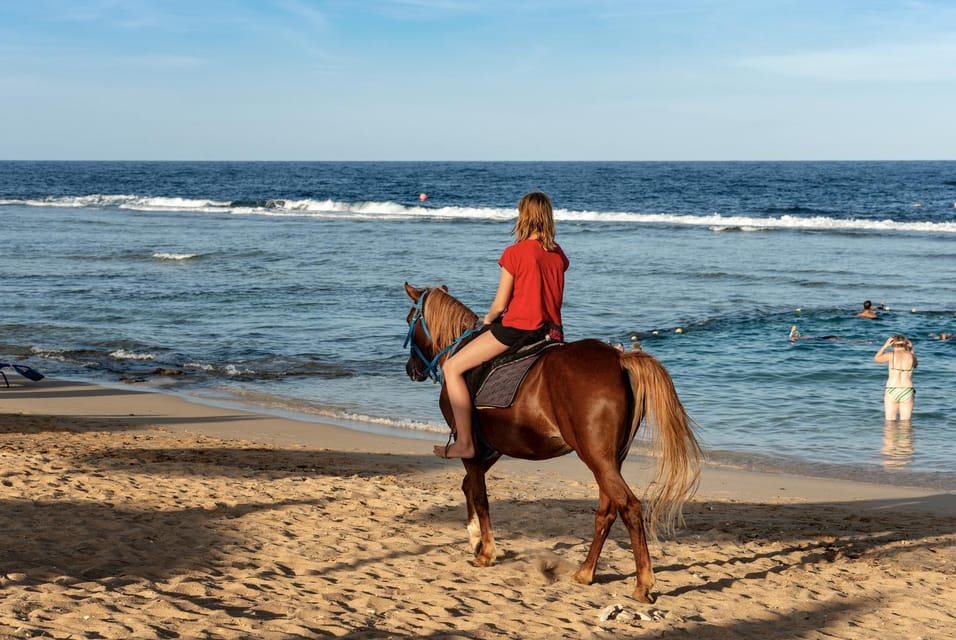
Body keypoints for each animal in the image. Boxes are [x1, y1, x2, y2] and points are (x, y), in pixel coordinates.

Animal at [404, 282, 704, 604]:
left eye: (410, 318)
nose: (411, 369)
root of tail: (618, 359)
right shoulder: (494, 447)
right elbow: (469, 486)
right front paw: (475, 539)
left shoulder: (470, 446)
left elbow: (479, 494)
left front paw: (484, 551)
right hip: (610, 460)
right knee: (607, 511)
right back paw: (585, 572)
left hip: (596, 457)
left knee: (630, 507)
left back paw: (642, 584)